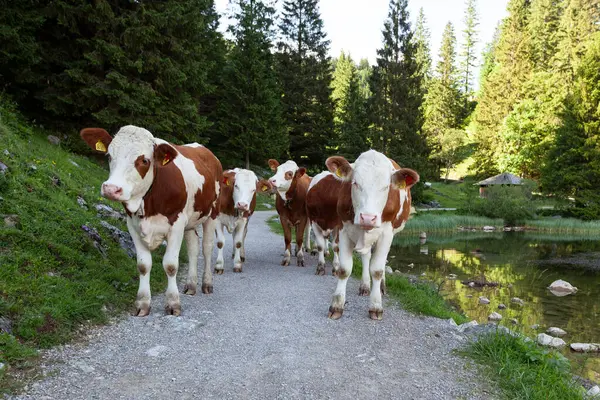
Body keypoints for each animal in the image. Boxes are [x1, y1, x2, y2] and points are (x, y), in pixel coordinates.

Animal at [78, 125, 221, 316]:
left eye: (144, 160)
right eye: (108, 155)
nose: (111, 189)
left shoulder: (176, 224)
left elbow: (170, 265)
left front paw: (173, 304)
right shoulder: (132, 224)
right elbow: (143, 265)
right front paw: (143, 304)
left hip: (212, 214)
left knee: (206, 248)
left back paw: (207, 284)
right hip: (191, 221)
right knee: (193, 248)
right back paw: (191, 285)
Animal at [324, 150, 418, 322]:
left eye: (386, 187)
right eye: (355, 183)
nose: (368, 218)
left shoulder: (387, 234)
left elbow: (377, 270)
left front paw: (375, 306)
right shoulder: (343, 229)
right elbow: (344, 269)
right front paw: (337, 306)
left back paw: (381, 286)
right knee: (366, 256)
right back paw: (365, 285)